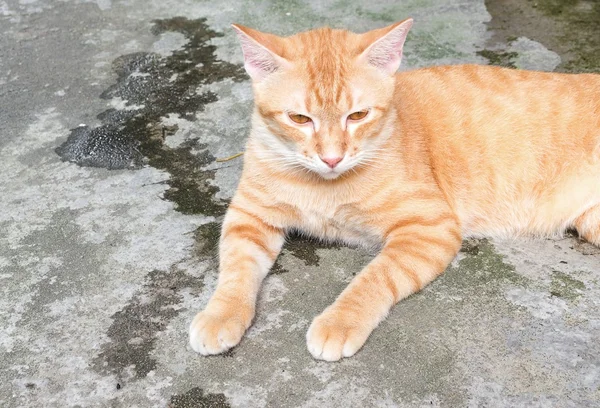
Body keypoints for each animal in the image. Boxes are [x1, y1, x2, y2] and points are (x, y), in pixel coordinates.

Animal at [190, 17, 600, 360]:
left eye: (358, 115)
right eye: (300, 119)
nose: (332, 158)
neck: (324, 186)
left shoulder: (430, 227)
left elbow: (373, 278)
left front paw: (339, 320)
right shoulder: (248, 216)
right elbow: (236, 269)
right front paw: (220, 314)